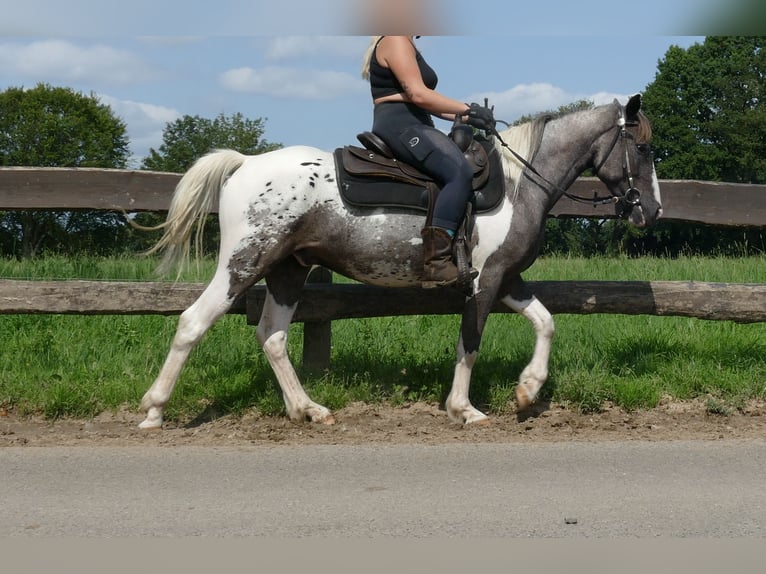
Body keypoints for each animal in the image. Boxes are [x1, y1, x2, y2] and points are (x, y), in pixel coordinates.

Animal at [140, 92, 664, 430]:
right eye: (642, 147)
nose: (653, 210)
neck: (520, 184)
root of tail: (246, 163)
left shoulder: (507, 277)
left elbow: (546, 321)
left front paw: (527, 390)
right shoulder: (486, 279)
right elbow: (470, 341)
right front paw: (463, 409)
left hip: (290, 268)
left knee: (272, 336)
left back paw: (308, 410)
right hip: (245, 262)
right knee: (193, 322)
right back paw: (154, 409)